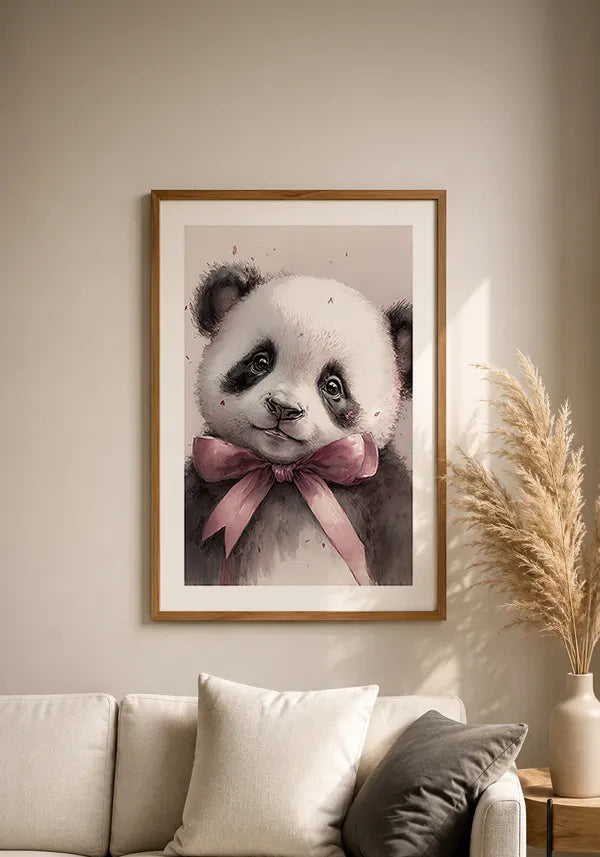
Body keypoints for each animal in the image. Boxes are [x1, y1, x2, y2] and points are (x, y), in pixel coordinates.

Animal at [185, 262, 412, 586]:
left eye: (333, 386)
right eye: (260, 362)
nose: (283, 408)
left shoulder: (385, 506)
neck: (287, 480)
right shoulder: (205, 498)